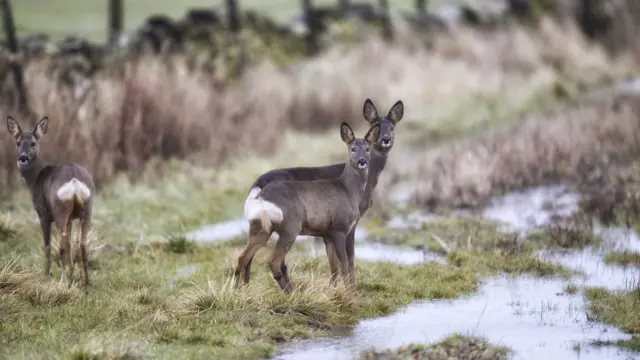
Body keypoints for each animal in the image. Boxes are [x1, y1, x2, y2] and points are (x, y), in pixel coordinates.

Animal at [5, 116, 96, 294]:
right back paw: (85, 284)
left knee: (63, 244)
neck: (35, 179)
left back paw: (66, 282)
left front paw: (47, 278)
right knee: (80, 243)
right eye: (18, 142)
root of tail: (74, 181)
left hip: (61, 209)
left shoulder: (43, 213)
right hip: (87, 209)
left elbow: (46, 245)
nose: (23, 157)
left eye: (33, 143)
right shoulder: (71, 219)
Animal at [242, 97, 402, 286]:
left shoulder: (327, 230)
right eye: (375, 124)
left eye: (392, 127)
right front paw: (350, 288)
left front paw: (334, 287)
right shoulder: (349, 224)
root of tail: (257, 185)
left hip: (257, 224)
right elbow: (349, 259)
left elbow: (333, 262)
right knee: (275, 260)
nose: (385, 139)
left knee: (250, 255)